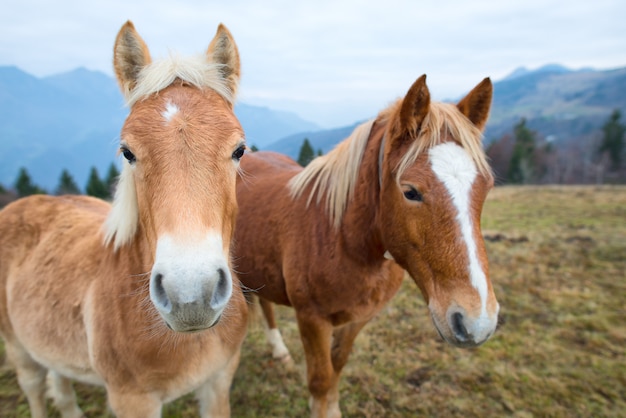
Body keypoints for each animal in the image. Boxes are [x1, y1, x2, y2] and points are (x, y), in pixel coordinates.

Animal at [0, 21, 249, 416]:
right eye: (127, 152)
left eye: (239, 149)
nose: (190, 296)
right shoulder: (133, 399)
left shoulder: (218, 381)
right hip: (20, 350)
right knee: (36, 390)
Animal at [232, 74, 500, 414]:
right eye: (410, 191)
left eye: (486, 187)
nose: (476, 323)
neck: (341, 239)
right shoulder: (312, 319)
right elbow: (320, 379)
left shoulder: (358, 319)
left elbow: (337, 366)